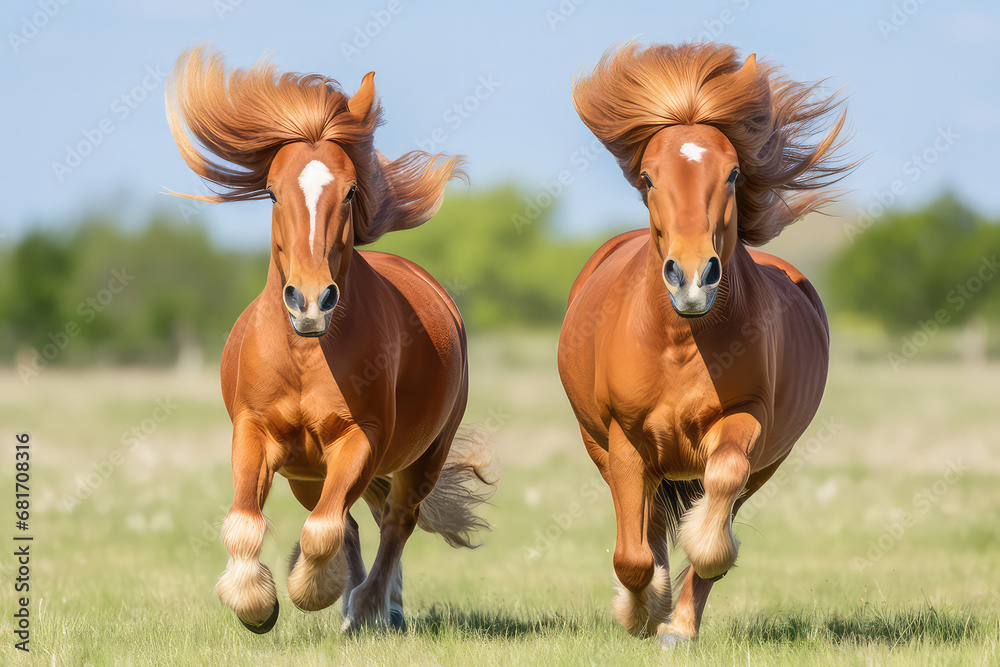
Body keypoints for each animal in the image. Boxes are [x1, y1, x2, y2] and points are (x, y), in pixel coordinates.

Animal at [165, 46, 496, 634]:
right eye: (273, 191)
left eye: (350, 190)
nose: (311, 302)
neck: (305, 356)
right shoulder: (256, 433)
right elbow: (245, 522)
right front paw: (257, 604)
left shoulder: (358, 438)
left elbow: (324, 531)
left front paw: (314, 592)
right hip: (308, 472)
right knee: (361, 519)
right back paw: (377, 602)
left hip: (424, 457)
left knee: (396, 520)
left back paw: (369, 608)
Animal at [557, 42, 854, 646]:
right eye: (648, 177)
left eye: (734, 172)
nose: (693, 277)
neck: (680, 342)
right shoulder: (626, 438)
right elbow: (633, 553)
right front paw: (640, 611)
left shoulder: (745, 420)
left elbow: (716, 520)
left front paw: (678, 612)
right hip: (599, 445)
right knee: (643, 525)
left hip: (767, 463)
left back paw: (680, 621)